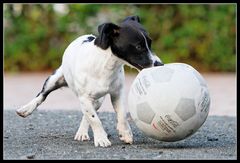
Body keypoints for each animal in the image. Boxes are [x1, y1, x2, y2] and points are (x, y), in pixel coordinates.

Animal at [16, 15, 163, 147]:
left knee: (87, 114)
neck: (106, 65)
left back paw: (82, 132)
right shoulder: (84, 97)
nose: (160, 64)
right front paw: (101, 139)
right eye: (138, 46)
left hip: (98, 100)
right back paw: (26, 109)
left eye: (150, 43)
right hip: (54, 79)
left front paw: (125, 133)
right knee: (42, 95)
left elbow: (120, 115)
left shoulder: (117, 93)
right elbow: (94, 119)